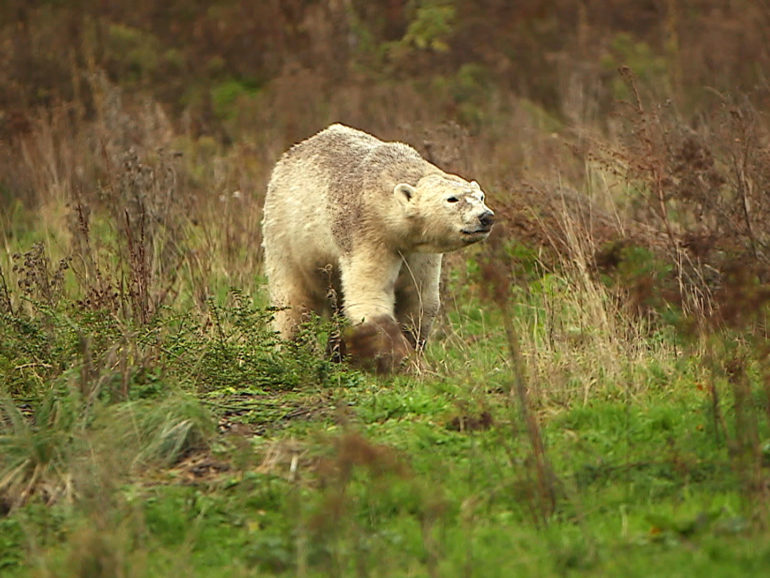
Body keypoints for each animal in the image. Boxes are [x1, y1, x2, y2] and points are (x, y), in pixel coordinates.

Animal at [260, 124, 496, 372]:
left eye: (481, 196)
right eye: (452, 199)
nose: (486, 217)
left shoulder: (419, 251)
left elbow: (419, 301)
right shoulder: (366, 232)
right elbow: (368, 302)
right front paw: (409, 365)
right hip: (286, 235)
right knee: (293, 303)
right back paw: (290, 354)